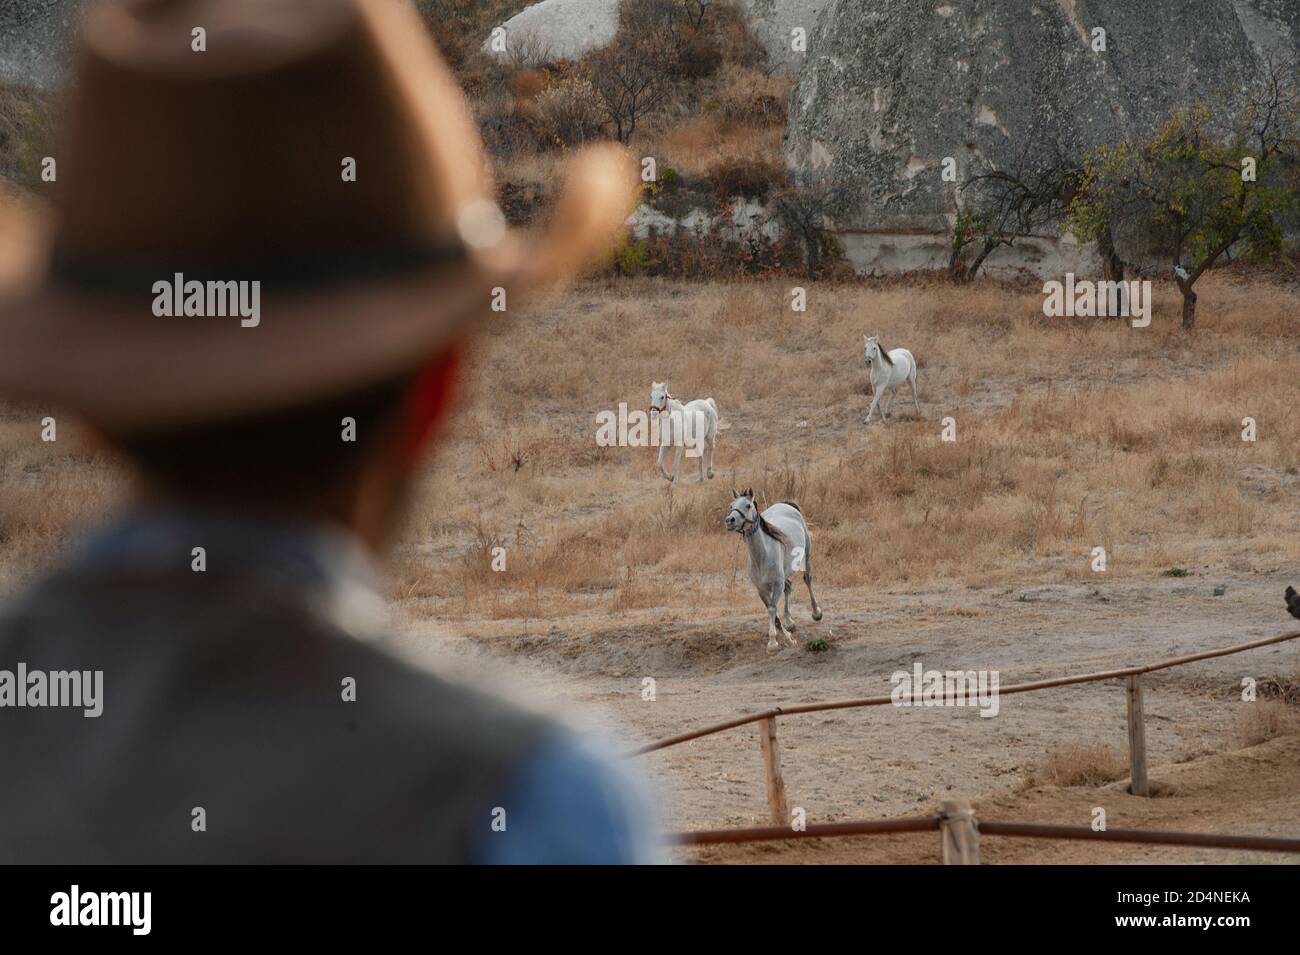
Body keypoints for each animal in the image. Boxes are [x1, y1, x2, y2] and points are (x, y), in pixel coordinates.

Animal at [724, 488, 823, 653]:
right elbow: (773, 613)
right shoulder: (761, 589)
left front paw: (773, 643)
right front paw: (788, 636)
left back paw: (816, 613)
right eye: (731, 505)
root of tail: (785, 504)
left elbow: (772, 609)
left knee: (807, 579)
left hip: (807, 556)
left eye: (748, 505)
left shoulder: (777, 584)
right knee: (788, 587)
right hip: (784, 574)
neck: (762, 556)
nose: (729, 520)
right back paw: (789, 621)